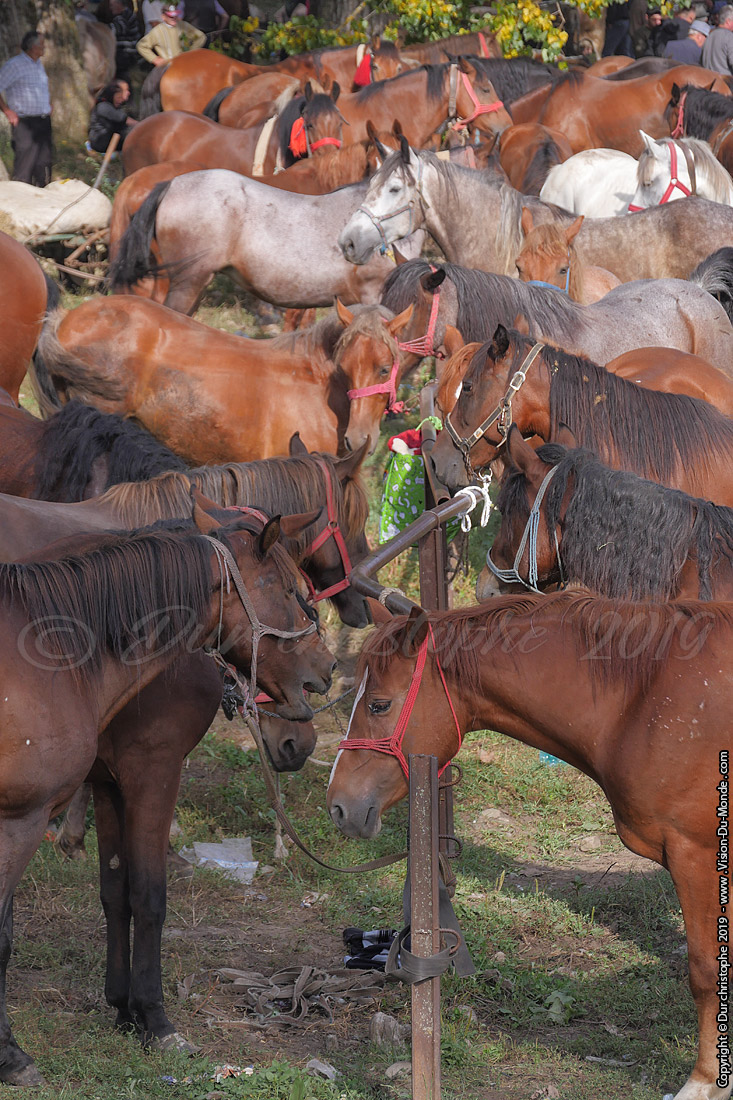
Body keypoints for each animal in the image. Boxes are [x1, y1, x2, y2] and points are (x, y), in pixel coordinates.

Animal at [0, 511, 336, 1084]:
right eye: (294, 590)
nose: (328, 667)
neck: (55, 651)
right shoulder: (137, 778)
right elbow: (149, 898)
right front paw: (153, 1020)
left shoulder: (111, 783)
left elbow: (117, 892)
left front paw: (123, 1008)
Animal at [326, 595, 732, 1100]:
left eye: (379, 704)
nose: (338, 805)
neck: (645, 699)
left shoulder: (696, 856)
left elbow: (706, 971)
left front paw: (706, 1082)